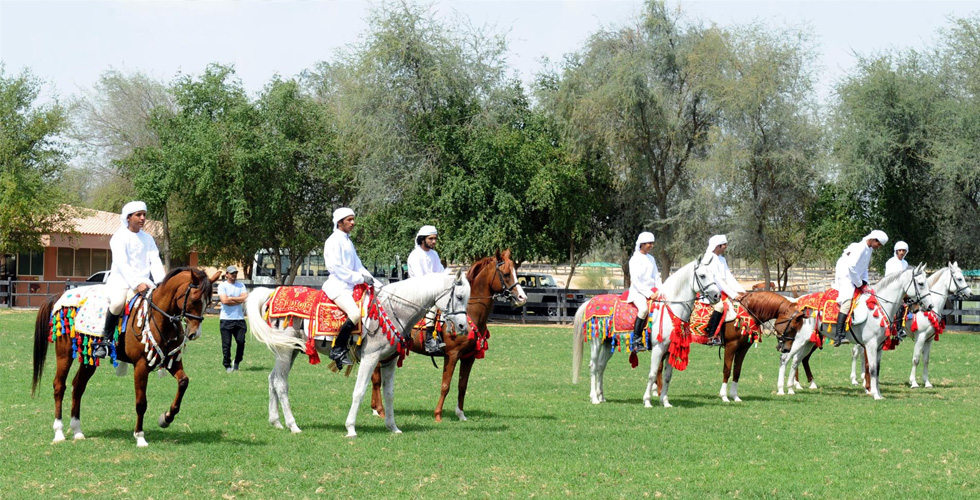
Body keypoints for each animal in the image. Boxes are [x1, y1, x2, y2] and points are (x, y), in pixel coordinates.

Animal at [31, 268, 217, 448]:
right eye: (194, 300)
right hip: (65, 353)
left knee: (78, 386)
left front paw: (166, 418)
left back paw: (77, 431)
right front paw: (140, 437)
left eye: (208, 303)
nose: (194, 334)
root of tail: (61, 297)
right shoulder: (141, 366)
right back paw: (59, 433)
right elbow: (141, 403)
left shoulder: (172, 361)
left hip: (88, 358)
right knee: (59, 386)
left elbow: (183, 382)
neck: (160, 318)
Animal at [249, 270, 470, 438]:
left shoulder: (389, 361)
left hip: (291, 350)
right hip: (285, 351)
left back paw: (276, 421)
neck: (393, 310)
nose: (462, 327)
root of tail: (272, 295)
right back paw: (292, 425)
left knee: (273, 379)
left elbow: (389, 394)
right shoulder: (370, 358)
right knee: (281, 383)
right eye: (459, 297)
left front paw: (393, 427)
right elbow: (359, 391)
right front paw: (351, 428)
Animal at [370, 250, 528, 422]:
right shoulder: (452, 355)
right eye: (506, 274)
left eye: (516, 272)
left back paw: (375, 408)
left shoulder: (469, 357)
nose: (522, 298)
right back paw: (379, 410)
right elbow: (445, 385)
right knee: (376, 378)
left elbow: (462, 385)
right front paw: (438, 414)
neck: (468, 312)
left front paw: (461, 414)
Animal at [572, 260, 724, 408]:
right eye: (703, 275)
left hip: (608, 344)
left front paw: (665, 401)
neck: (671, 308)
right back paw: (594, 398)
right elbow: (653, 374)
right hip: (596, 342)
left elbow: (667, 376)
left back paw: (601, 396)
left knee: (600, 367)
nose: (717, 296)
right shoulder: (658, 348)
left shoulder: (669, 349)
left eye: (713, 274)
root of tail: (590, 301)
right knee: (593, 366)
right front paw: (647, 401)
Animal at [776, 264, 932, 400]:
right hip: (799, 341)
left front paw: (878, 393)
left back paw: (790, 388)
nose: (929, 306)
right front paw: (875, 394)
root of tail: (799, 304)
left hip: (808, 342)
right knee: (785, 358)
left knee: (796, 361)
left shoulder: (879, 347)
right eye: (921, 283)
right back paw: (781, 389)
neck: (878, 306)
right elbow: (872, 369)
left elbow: (877, 370)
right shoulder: (870, 345)